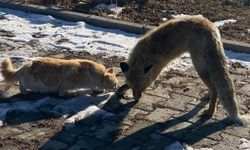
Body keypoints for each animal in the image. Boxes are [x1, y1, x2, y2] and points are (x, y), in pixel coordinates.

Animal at [116, 15, 248, 125]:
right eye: (134, 88)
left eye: (143, 88)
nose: (136, 100)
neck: (145, 55)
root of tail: (211, 27)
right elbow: (123, 86)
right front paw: (120, 91)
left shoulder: (156, 70)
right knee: (213, 87)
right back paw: (207, 96)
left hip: (199, 67)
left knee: (215, 89)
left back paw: (210, 111)